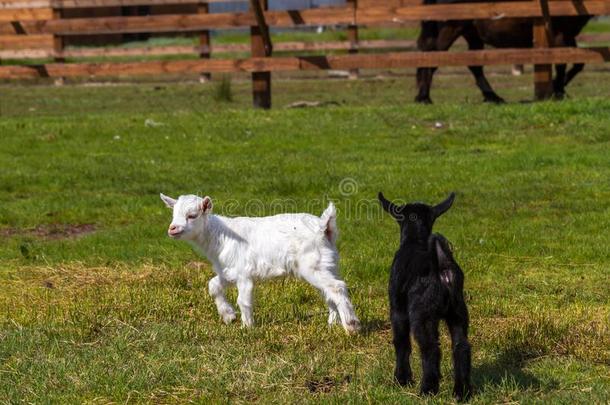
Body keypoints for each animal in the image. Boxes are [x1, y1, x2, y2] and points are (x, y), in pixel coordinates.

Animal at [414, 0, 588, 102]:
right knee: (433, 58)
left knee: (474, 66)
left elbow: (578, 63)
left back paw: (492, 97)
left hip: (473, 34)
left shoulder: (568, 35)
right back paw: (423, 97)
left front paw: (558, 89)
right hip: (451, 29)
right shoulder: (560, 34)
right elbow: (561, 63)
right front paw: (558, 91)